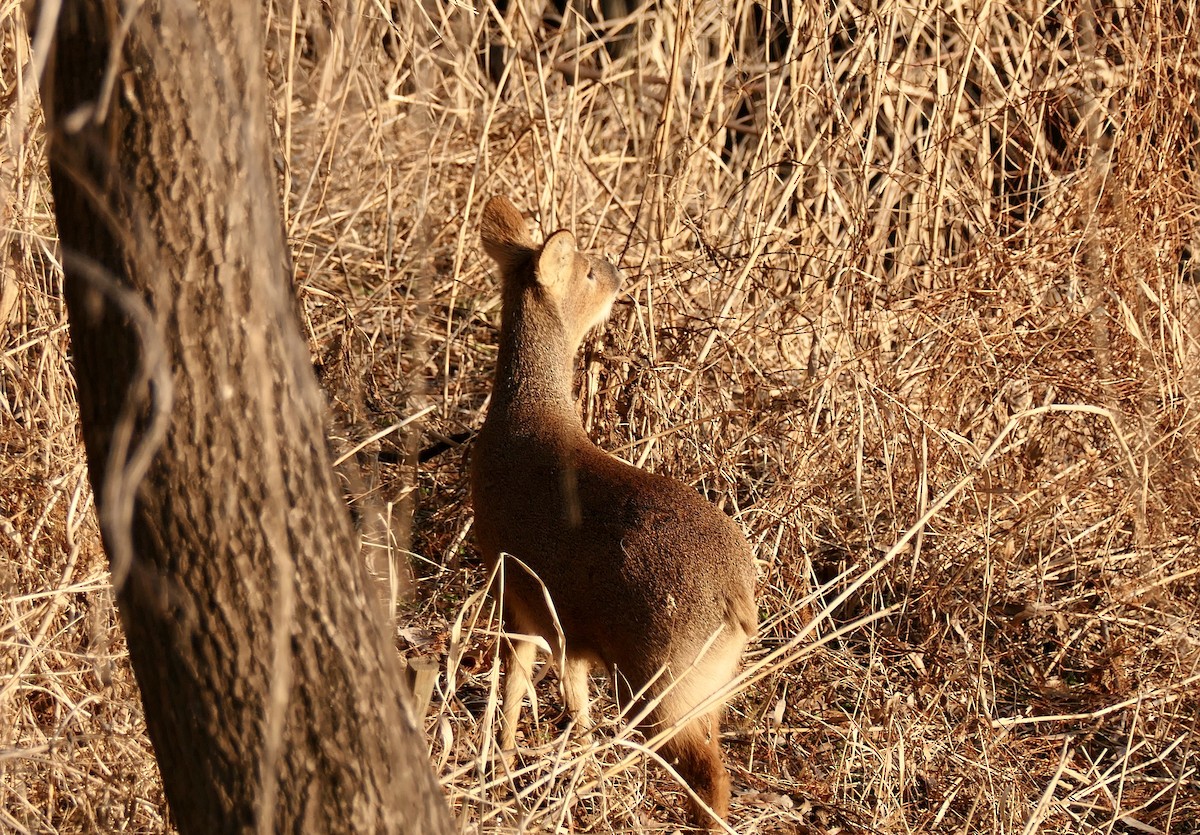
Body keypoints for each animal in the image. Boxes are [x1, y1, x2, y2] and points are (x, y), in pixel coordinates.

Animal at [471, 194, 757, 830]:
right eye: (588, 272)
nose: (619, 271)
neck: (522, 420)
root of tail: (738, 594)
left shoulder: (511, 582)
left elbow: (514, 682)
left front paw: (499, 766)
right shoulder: (562, 621)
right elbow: (572, 697)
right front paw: (565, 758)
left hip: (663, 677)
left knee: (708, 774)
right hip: (706, 683)